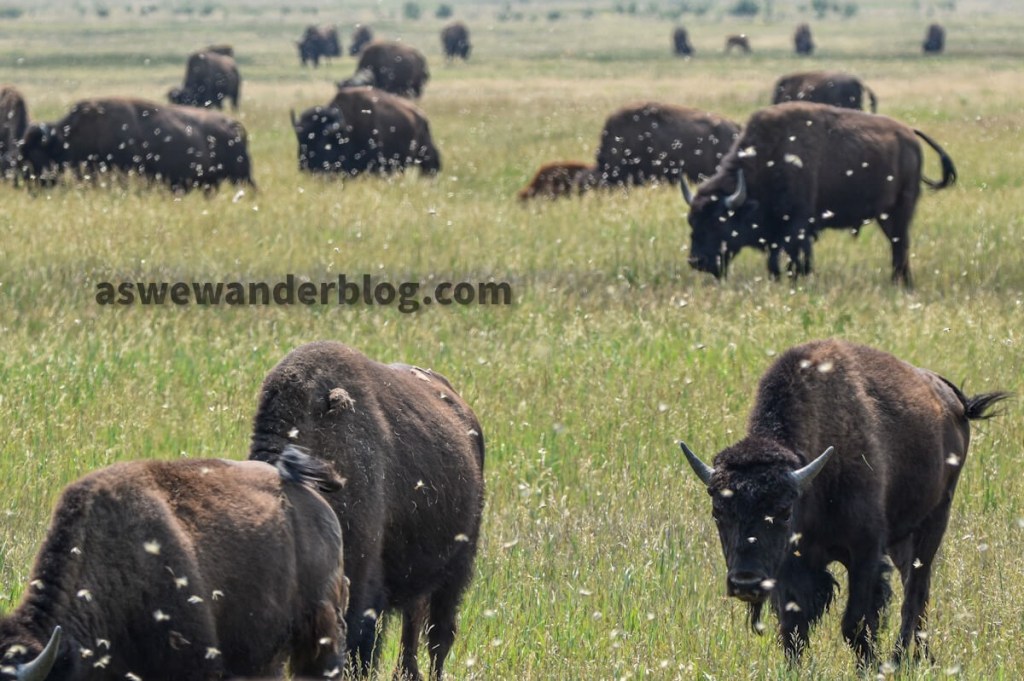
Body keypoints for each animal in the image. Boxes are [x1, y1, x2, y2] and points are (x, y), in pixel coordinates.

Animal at [680, 338, 1010, 665]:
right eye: (718, 512)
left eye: (784, 512)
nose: (746, 583)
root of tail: (952, 399)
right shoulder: (790, 564)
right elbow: (793, 629)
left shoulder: (865, 552)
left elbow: (856, 623)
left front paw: (872, 666)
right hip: (901, 539)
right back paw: (922, 657)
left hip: (934, 520)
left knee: (915, 594)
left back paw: (900, 659)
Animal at [681, 102, 956, 287]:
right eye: (692, 221)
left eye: (719, 222)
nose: (697, 261)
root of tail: (910, 133)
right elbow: (776, 260)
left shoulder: (798, 226)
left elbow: (795, 258)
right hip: (885, 215)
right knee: (897, 245)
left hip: (901, 210)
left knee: (900, 245)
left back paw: (901, 283)